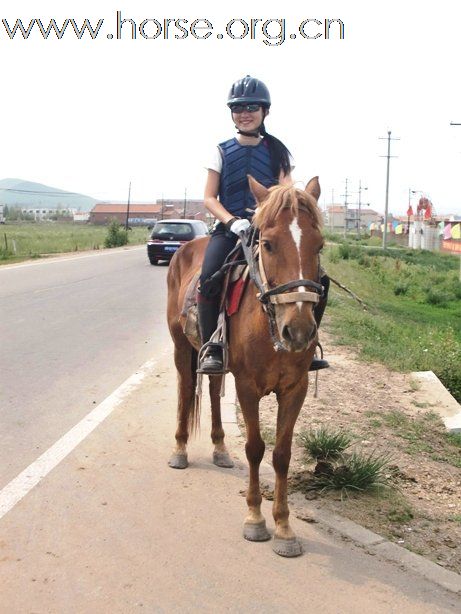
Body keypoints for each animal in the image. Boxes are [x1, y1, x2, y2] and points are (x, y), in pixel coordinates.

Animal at [166, 177, 324, 560]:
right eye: (267, 244)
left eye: (319, 246)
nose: (298, 329)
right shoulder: (247, 387)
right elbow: (255, 448)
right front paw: (255, 519)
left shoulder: (294, 389)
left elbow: (281, 454)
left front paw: (284, 527)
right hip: (181, 347)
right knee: (185, 390)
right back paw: (180, 450)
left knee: (211, 390)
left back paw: (221, 449)